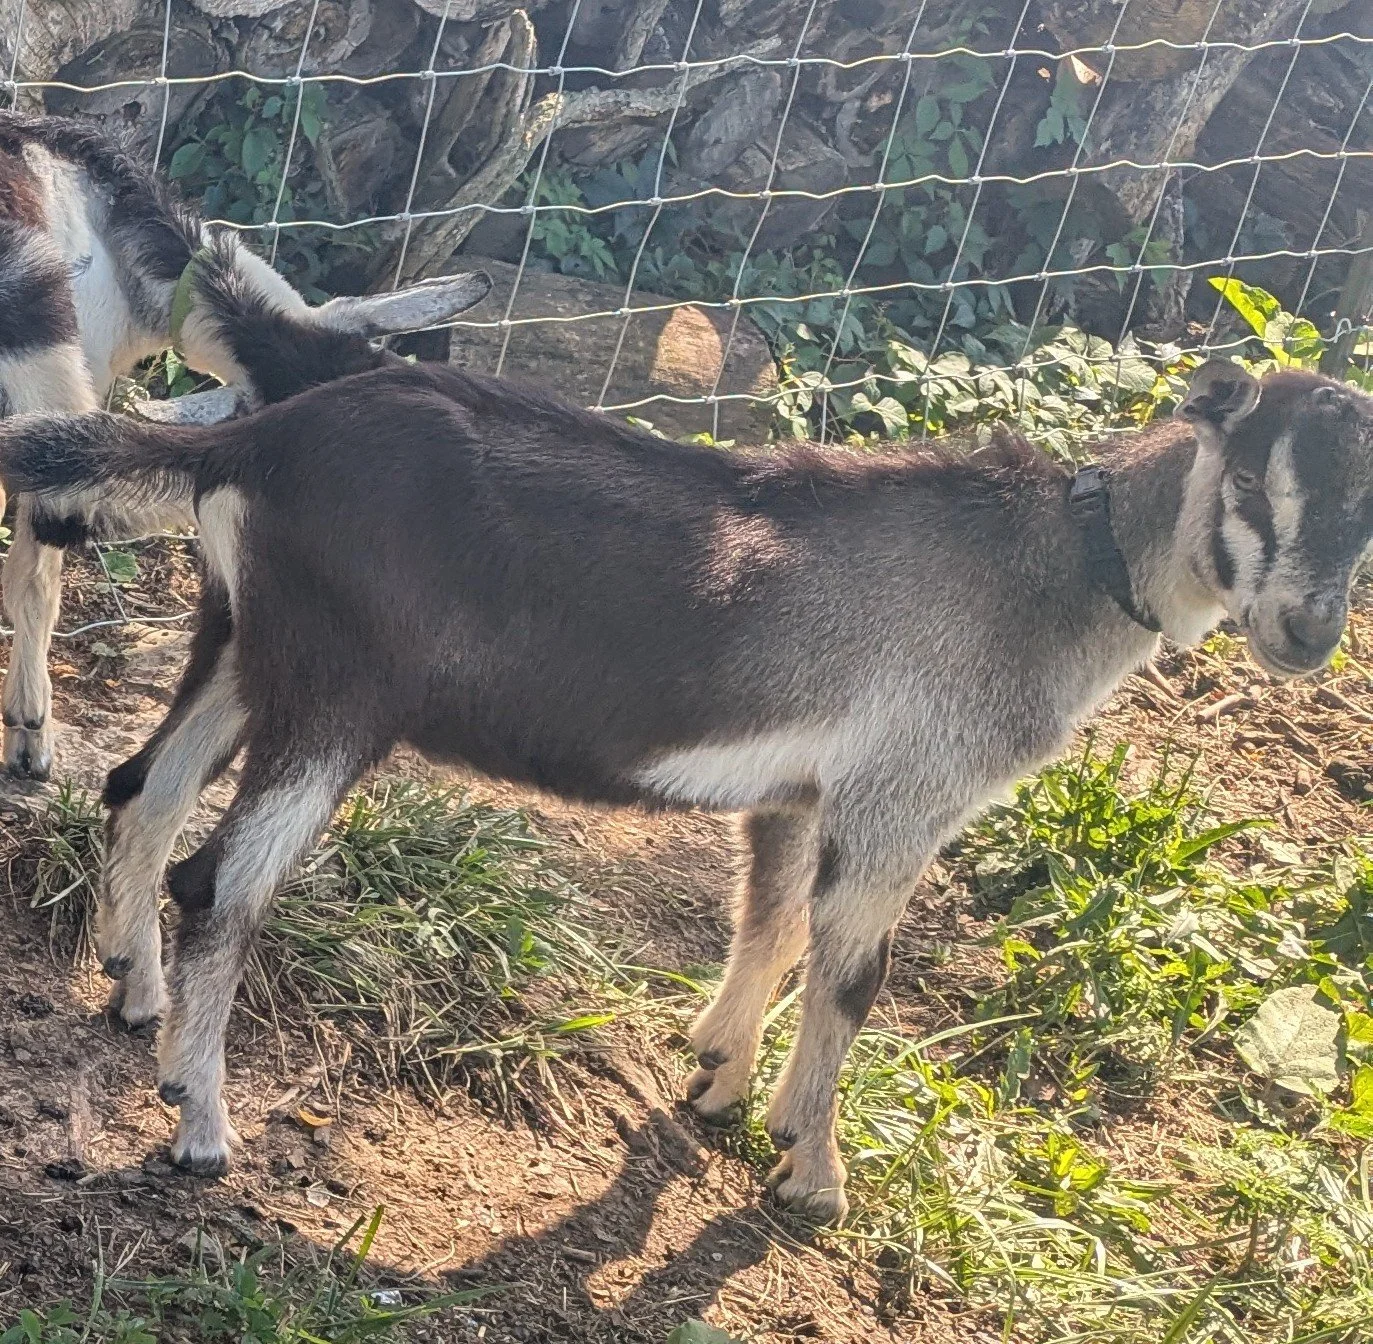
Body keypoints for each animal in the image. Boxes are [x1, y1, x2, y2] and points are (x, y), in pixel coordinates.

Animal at [0, 357, 1368, 1223]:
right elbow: (853, 974)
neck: (1055, 567)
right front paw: (810, 1173)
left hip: (244, 645)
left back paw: (134, 997)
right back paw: (199, 1122)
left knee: (140, 791)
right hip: (339, 693)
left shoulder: (804, 785)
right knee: (219, 879)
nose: (1306, 636)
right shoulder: (903, 791)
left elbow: (767, 918)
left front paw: (715, 1077)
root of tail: (255, 440)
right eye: (1253, 484)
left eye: (1365, 516)